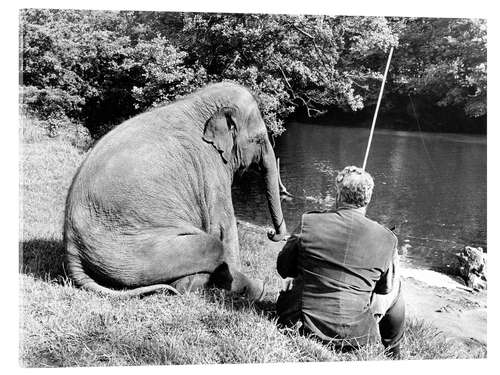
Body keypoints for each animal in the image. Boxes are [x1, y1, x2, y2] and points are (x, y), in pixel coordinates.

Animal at [64, 83, 288, 302]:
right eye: (258, 139)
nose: (271, 233)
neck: (202, 99)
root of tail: (72, 251)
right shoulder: (210, 167)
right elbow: (224, 226)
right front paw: (257, 289)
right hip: (132, 252)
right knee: (213, 246)